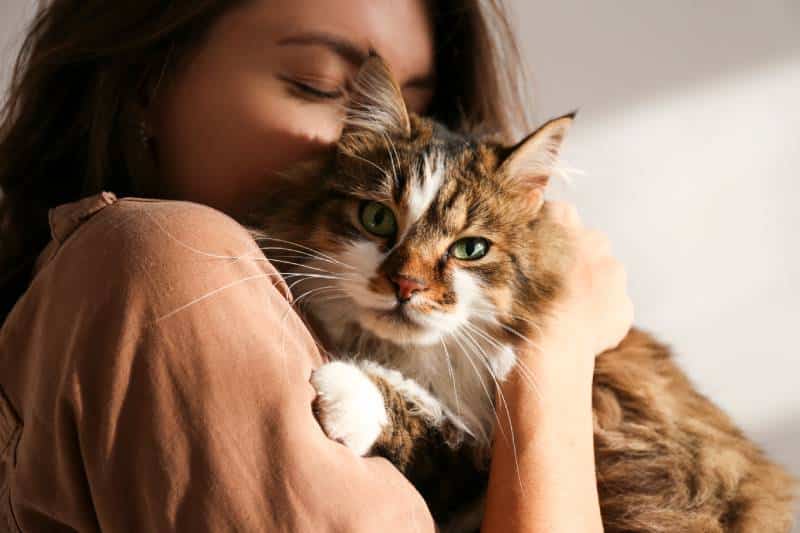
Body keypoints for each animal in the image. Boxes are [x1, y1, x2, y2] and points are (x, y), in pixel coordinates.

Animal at [247, 56, 796, 528]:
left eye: (470, 249)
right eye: (377, 219)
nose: (406, 285)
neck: (417, 360)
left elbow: (433, 425)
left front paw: (348, 392)